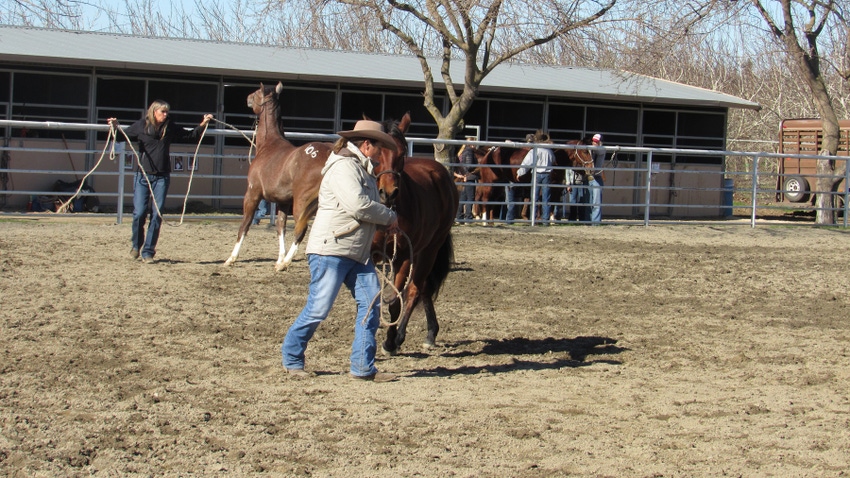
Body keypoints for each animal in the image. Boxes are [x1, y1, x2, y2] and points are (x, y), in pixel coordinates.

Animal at [224, 83, 330, 272]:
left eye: (256, 93)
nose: (247, 97)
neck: (269, 145)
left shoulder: (252, 193)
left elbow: (245, 224)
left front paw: (231, 258)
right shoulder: (283, 201)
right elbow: (281, 227)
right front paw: (279, 257)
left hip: (302, 202)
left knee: (301, 229)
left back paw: (285, 263)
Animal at [370, 113, 458, 354]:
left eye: (401, 153)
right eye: (375, 153)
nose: (388, 192)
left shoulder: (402, 257)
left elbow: (395, 302)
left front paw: (389, 342)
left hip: (429, 250)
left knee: (416, 290)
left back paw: (401, 336)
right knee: (425, 288)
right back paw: (431, 332)